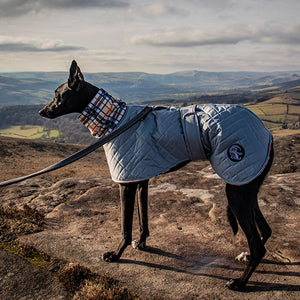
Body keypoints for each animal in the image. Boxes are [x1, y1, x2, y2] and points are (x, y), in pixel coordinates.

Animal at [39, 59, 274, 290]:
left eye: (58, 94)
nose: (42, 111)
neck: (117, 119)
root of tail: (266, 132)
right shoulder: (139, 178)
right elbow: (143, 217)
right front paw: (142, 242)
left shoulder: (126, 183)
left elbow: (125, 227)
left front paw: (116, 254)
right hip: (246, 187)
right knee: (266, 230)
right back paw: (247, 257)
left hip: (237, 189)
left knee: (258, 245)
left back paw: (241, 282)